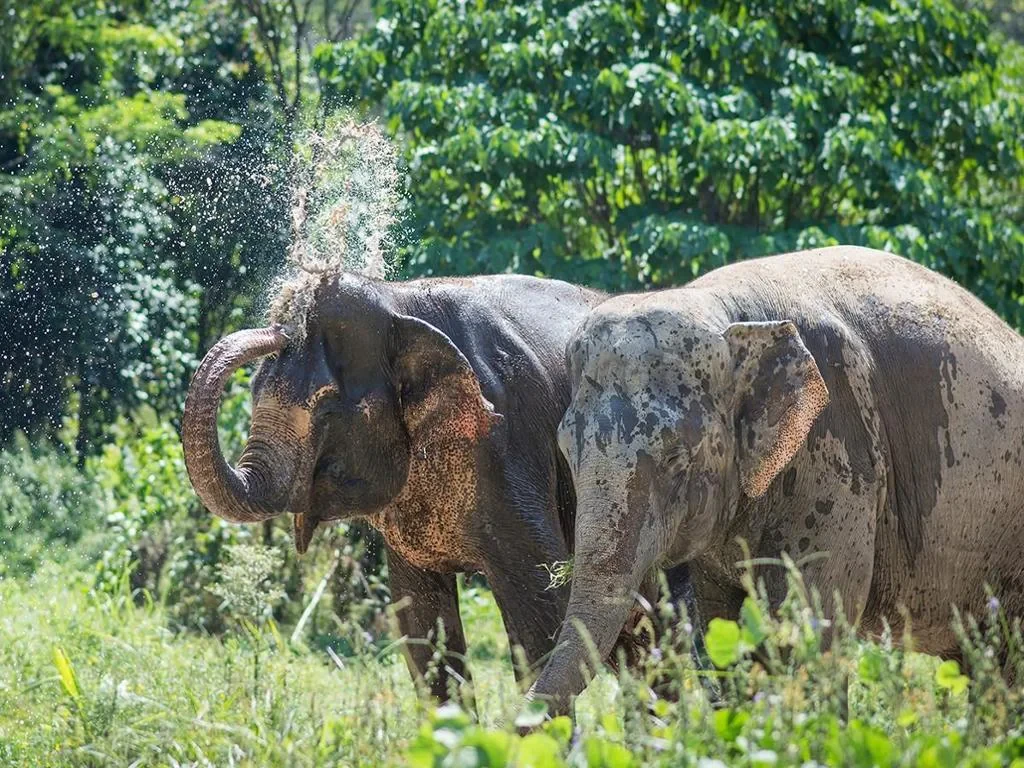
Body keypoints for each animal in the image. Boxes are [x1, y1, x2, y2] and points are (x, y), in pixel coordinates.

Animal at [181, 268, 691, 700]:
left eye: (326, 409)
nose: (283, 326)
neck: (398, 301)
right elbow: (423, 627)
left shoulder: (508, 446)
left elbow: (543, 611)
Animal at [528, 245, 1024, 714]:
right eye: (567, 453)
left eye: (675, 458)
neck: (726, 311)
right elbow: (724, 626)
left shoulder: (838, 455)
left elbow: (807, 627)